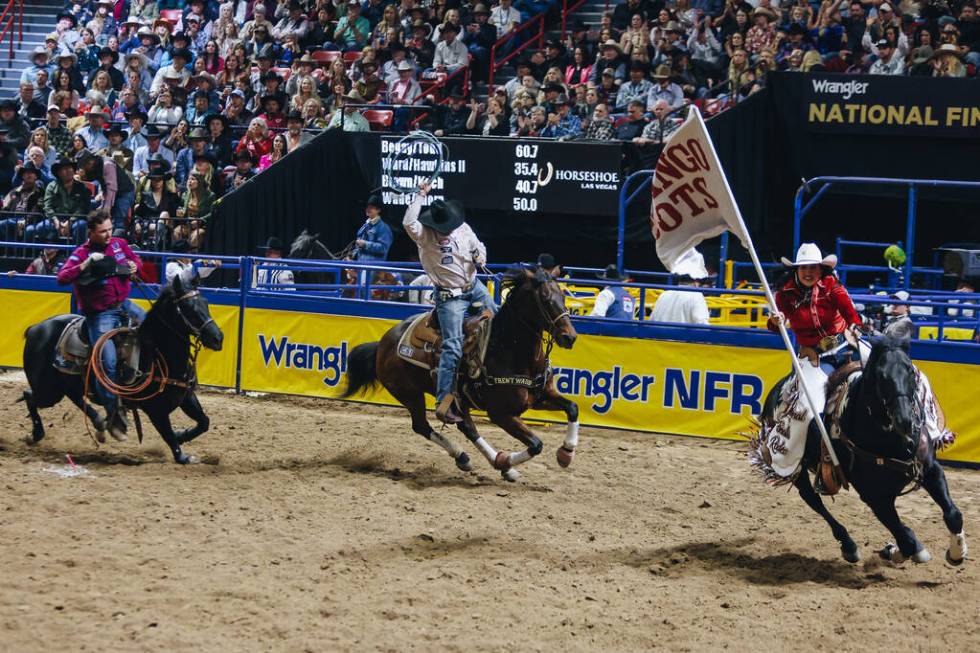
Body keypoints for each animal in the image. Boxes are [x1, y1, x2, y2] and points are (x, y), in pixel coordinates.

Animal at [21, 270, 224, 464]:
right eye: (188, 308)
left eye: (205, 303)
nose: (218, 338)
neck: (156, 354)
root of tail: (35, 328)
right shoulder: (155, 410)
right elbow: (167, 434)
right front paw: (182, 456)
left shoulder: (186, 396)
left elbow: (204, 422)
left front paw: (182, 435)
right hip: (48, 390)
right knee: (30, 395)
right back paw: (36, 434)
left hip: (64, 386)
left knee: (74, 398)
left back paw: (99, 423)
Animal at [340, 268, 580, 482]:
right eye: (545, 298)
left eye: (563, 296)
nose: (570, 337)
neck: (506, 348)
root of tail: (383, 343)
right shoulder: (500, 414)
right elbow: (536, 444)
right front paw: (505, 460)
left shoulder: (540, 397)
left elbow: (572, 408)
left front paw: (566, 453)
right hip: (409, 394)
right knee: (423, 426)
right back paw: (467, 457)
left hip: (457, 399)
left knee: (466, 427)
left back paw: (492, 464)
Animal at [756, 336, 964, 564]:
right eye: (880, 376)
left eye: (910, 370)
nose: (906, 420)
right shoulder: (874, 497)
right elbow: (906, 540)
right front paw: (898, 550)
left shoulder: (930, 470)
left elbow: (952, 515)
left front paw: (957, 552)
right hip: (796, 467)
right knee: (812, 499)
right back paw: (848, 545)